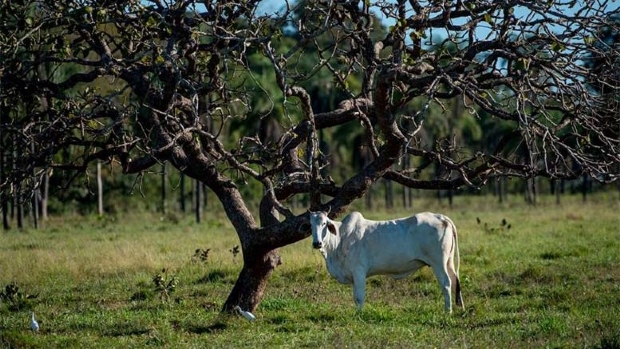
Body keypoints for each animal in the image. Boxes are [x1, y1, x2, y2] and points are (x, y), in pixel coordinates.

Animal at [312, 208, 462, 312]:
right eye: (310, 224)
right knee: (455, 280)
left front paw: (358, 314)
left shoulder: (359, 271)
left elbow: (359, 298)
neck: (340, 238)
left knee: (446, 283)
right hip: (448, 262)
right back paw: (461, 308)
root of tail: (441, 217)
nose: (317, 243)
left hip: (438, 263)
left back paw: (448, 311)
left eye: (324, 223)